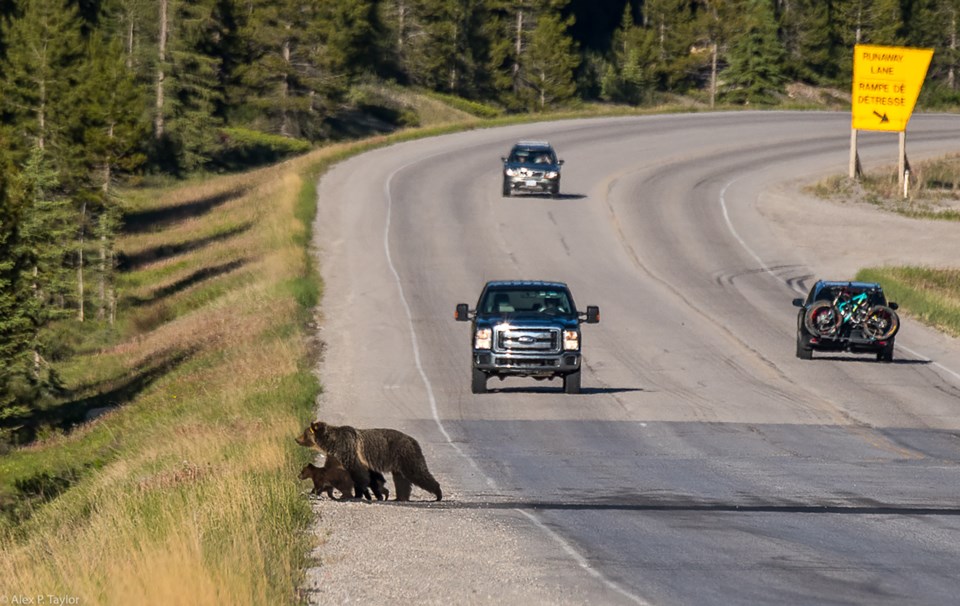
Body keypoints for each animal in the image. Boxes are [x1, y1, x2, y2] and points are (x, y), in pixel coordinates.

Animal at [294, 422, 444, 504]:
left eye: (304, 433)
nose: (296, 439)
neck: (333, 443)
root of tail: (414, 440)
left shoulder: (351, 451)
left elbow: (360, 475)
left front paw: (359, 494)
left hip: (406, 455)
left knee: (418, 472)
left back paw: (438, 494)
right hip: (399, 463)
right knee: (401, 480)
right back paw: (400, 497)